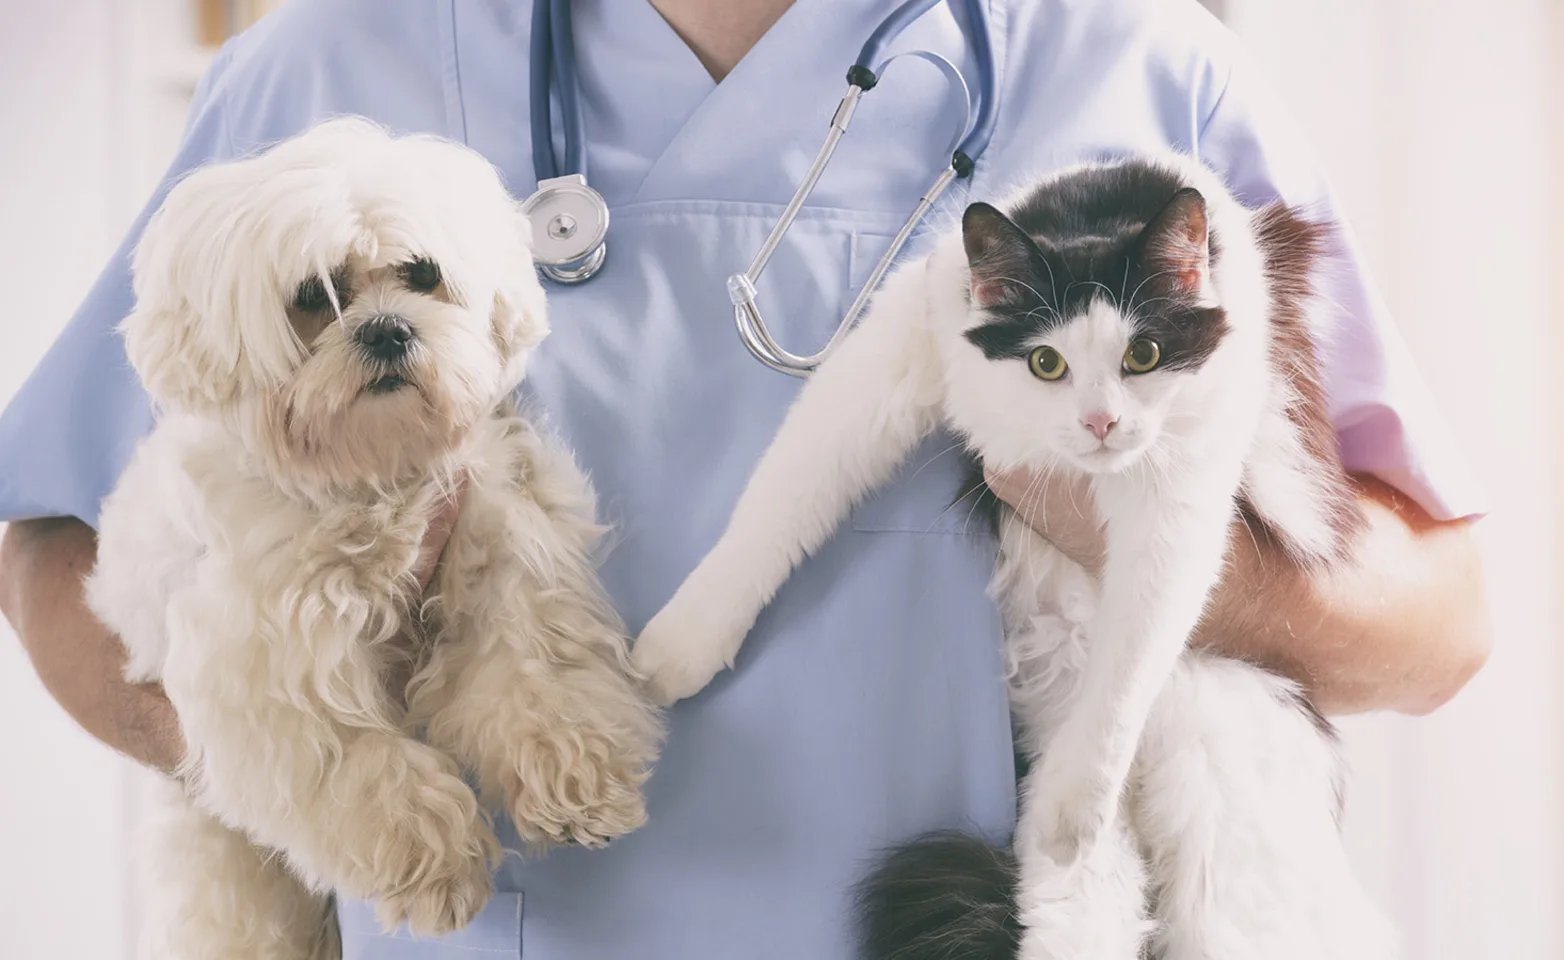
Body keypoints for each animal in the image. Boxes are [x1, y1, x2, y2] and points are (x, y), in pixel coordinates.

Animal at [87, 116, 660, 956]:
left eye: (422, 274)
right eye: (311, 297)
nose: (388, 330)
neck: (372, 480)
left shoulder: (501, 550)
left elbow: (535, 675)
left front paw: (576, 779)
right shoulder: (275, 670)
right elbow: (361, 770)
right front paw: (436, 865)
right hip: (229, 871)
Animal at [628, 157, 1401, 960]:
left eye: (1143, 355)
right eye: (1046, 362)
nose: (1100, 423)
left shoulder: (1180, 487)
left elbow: (1133, 652)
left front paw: (1078, 798)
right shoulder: (904, 348)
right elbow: (780, 497)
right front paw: (680, 646)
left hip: (1237, 849)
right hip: (1089, 885)